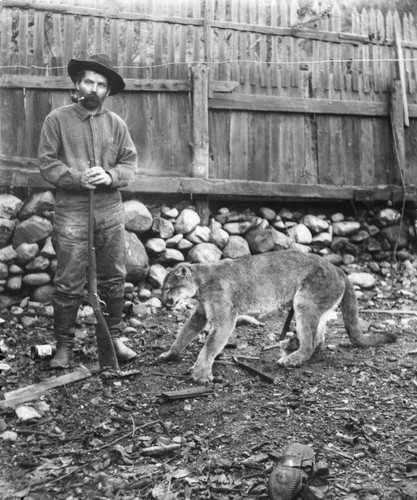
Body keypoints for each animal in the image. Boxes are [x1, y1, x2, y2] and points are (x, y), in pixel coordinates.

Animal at [159, 250, 396, 382]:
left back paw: (292, 358)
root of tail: (338, 269)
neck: (202, 282)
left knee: (312, 341)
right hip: (313, 305)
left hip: (304, 301)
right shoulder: (200, 314)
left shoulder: (224, 319)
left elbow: (209, 346)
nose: (164, 302)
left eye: (169, 288)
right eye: (162, 289)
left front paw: (200, 374)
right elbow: (184, 335)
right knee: (318, 338)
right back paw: (292, 344)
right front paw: (170, 355)